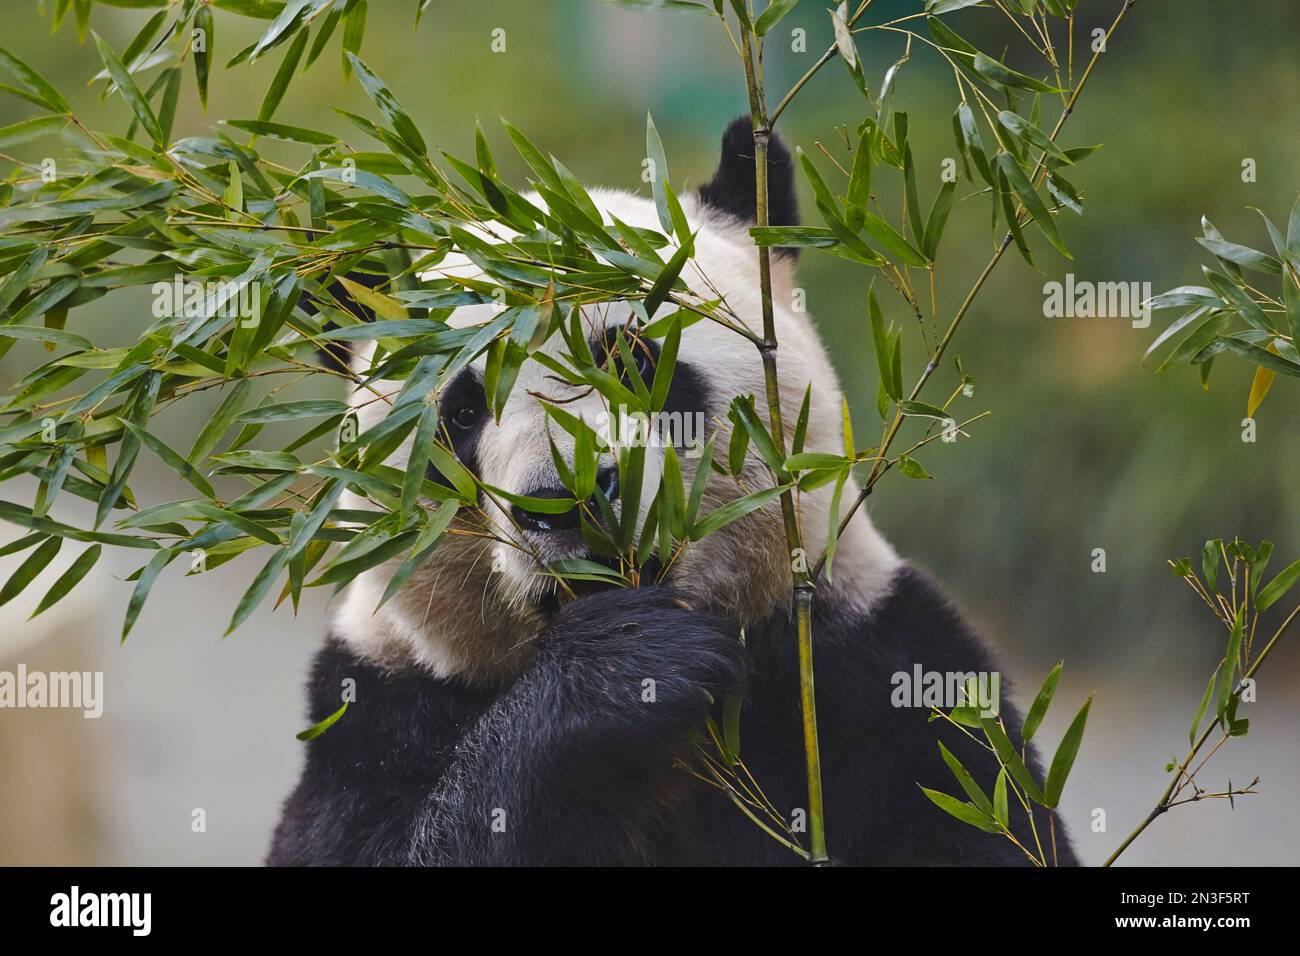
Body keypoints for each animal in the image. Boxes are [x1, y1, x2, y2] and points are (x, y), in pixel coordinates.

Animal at [266, 117, 1076, 868]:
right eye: (462, 413)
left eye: (632, 359)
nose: (568, 497)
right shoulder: (378, 708)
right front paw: (622, 672)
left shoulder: (878, 673)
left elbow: (983, 813)